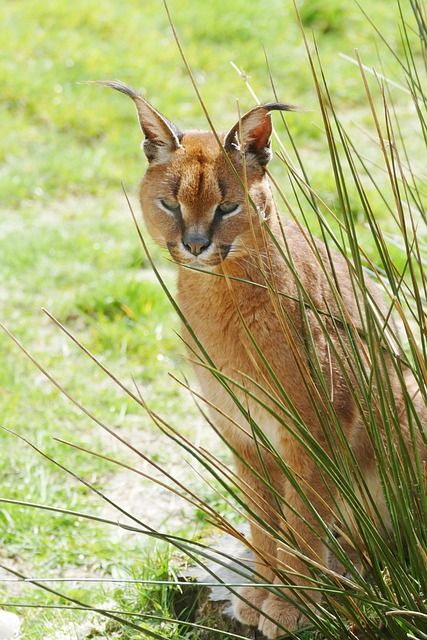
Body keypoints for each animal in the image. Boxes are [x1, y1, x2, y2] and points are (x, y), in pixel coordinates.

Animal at [97, 82, 427, 636]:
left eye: (228, 207)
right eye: (170, 204)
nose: (195, 244)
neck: (220, 292)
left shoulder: (316, 427)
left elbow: (302, 518)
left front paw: (291, 605)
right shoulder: (242, 430)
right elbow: (263, 519)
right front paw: (260, 592)